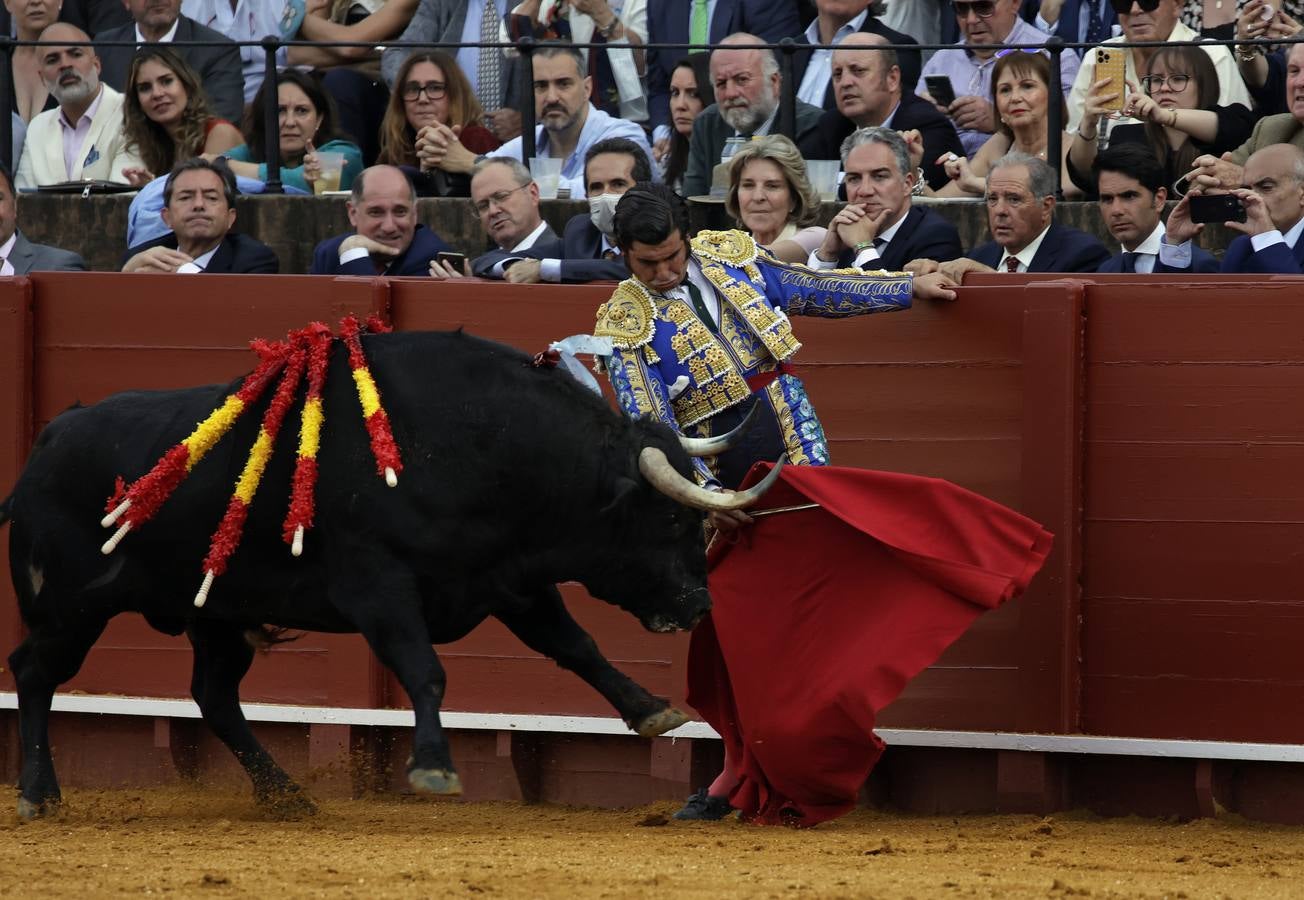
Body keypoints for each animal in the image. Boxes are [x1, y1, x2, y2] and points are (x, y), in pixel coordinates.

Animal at [0, 331, 771, 819]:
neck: (477, 444)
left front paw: (651, 710)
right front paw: (433, 766)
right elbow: (425, 669)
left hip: (215, 613)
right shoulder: (379, 588)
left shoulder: (510, 580)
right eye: (667, 519)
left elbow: (576, 646)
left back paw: (287, 796)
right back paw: (40, 793)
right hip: (71, 607)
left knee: (213, 696)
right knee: (35, 673)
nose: (698, 603)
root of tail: (46, 443)